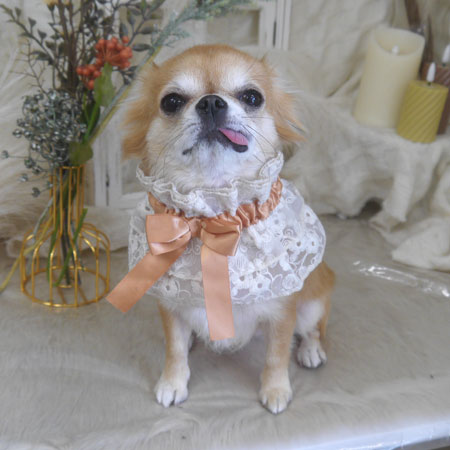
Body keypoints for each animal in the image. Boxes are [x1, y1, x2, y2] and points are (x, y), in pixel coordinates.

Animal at [114, 44, 334, 414]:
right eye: (171, 101)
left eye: (252, 97)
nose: (211, 102)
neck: (213, 214)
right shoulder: (170, 304)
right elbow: (173, 348)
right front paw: (173, 382)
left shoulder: (283, 310)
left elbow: (277, 353)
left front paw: (276, 389)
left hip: (312, 302)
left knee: (312, 328)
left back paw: (310, 350)